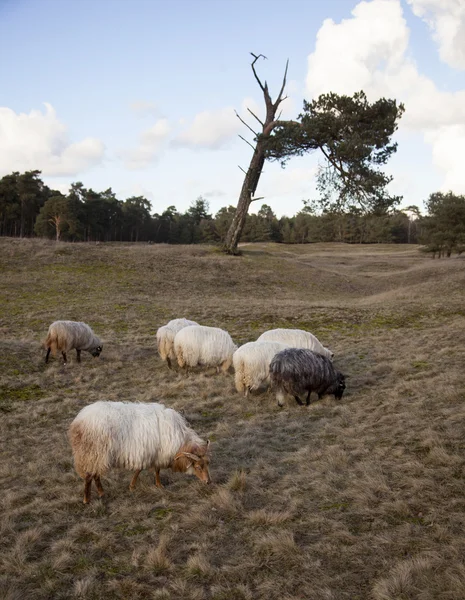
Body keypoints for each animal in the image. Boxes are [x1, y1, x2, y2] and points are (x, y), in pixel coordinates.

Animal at [68, 400, 211, 504]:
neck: (181, 442)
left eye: (207, 464)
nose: (208, 482)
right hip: (93, 452)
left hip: (97, 456)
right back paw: (87, 500)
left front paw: (158, 485)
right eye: (198, 467)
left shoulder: (156, 453)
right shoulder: (149, 452)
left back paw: (102, 492)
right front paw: (133, 486)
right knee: (89, 476)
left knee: (95, 474)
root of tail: (79, 421)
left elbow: (156, 470)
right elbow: (140, 470)